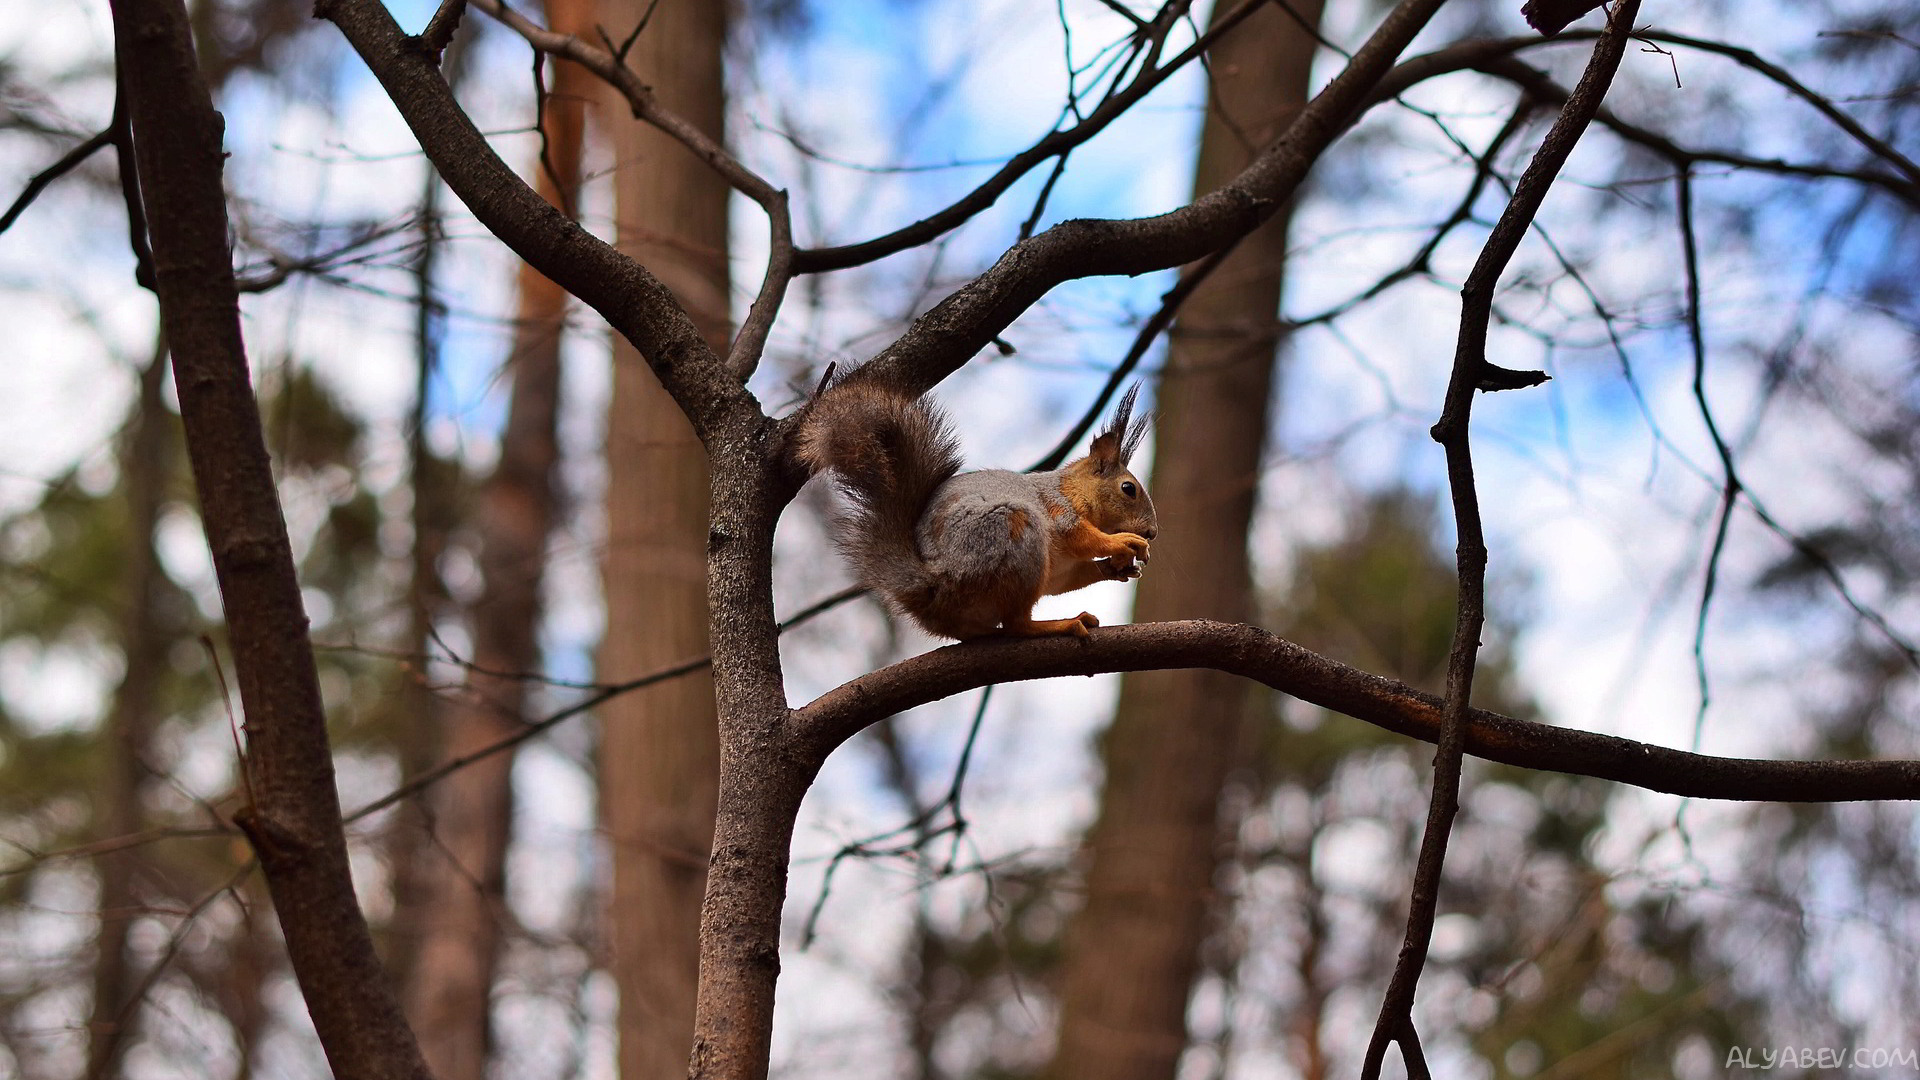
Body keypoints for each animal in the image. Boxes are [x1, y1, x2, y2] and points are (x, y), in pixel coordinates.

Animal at [794, 376, 1152, 634]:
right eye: (1128, 489)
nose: (1152, 532)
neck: (1073, 491)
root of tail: (935, 588)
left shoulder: (1061, 570)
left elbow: (1067, 578)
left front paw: (1117, 567)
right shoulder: (1058, 509)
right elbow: (1083, 536)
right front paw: (1122, 542)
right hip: (1010, 533)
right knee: (1016, 626)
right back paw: (1059, 625)